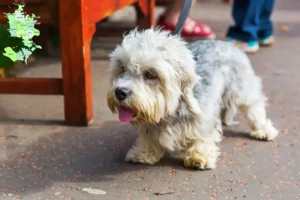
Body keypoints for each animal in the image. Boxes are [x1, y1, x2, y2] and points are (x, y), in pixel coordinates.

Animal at [106, 27, 278, 170]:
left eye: (150, 74)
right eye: (122, 68)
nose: (120, 92)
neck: (172, 110)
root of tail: (227, 43)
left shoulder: (205, 118)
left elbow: (202, 136)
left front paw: (199, 157)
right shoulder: (150, 125)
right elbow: (149, 138)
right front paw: (144, 153)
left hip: (241, 89)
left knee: (255, 107)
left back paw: (263, 130)